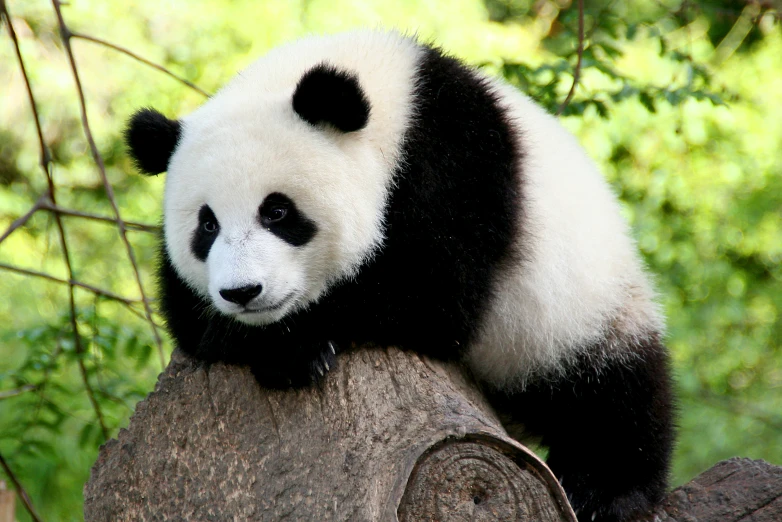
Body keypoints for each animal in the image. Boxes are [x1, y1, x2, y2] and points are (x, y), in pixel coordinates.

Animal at [125, 30, 676, 520]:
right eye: (207, 225)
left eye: (277, 211)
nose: (242, 292)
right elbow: (186, 314)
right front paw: (257, 340)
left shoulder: (459, 165)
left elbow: (433, 292)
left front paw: (295, 344)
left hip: (582, 303)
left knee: (611, 394)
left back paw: (604, 491)